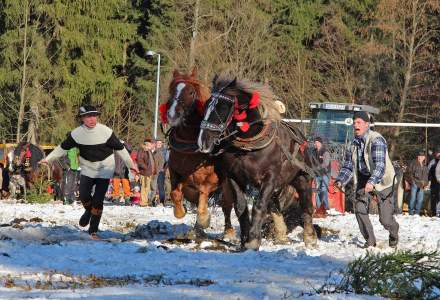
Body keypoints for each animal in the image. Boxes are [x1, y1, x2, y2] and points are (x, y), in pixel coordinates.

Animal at [162, 67, 234, 237]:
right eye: (171, 90)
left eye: (190, 92)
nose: (172, 114)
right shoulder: (174, 172)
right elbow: (175, 194)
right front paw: (180, 211)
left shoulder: (211, 179)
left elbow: (203, 196)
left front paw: (203, 219)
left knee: (227, 205)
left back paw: (228, 230)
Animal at [197, 76, 320, 250]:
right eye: (207, 104)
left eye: (223, 107)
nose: (203, 141)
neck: (249, 146)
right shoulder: (235, 177)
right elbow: (241, 207)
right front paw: (245, 238)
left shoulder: (269, 178)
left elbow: (259, 206)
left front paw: (253, 239)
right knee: (275, 206)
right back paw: (281, 234)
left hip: (301, 178)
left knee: (306, 205)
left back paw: (310, 237)